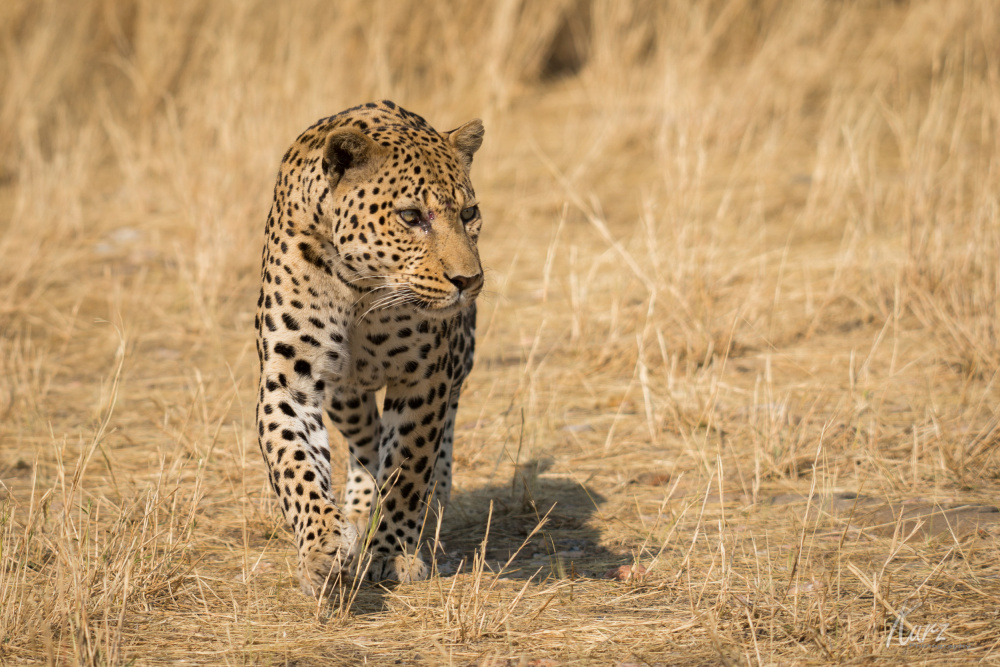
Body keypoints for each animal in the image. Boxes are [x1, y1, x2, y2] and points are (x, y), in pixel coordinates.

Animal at [254, 100, 485, 596]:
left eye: (470, 212)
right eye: (411, 217)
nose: (469, 280)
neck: (361, 288)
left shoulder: (424, 378)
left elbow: (408, 469)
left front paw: (393, 552)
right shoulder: (289, 378)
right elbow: (294, 461)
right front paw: (321, 547)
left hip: (457, 360)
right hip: (346, 395)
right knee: (367, 438)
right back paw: (359, 508)